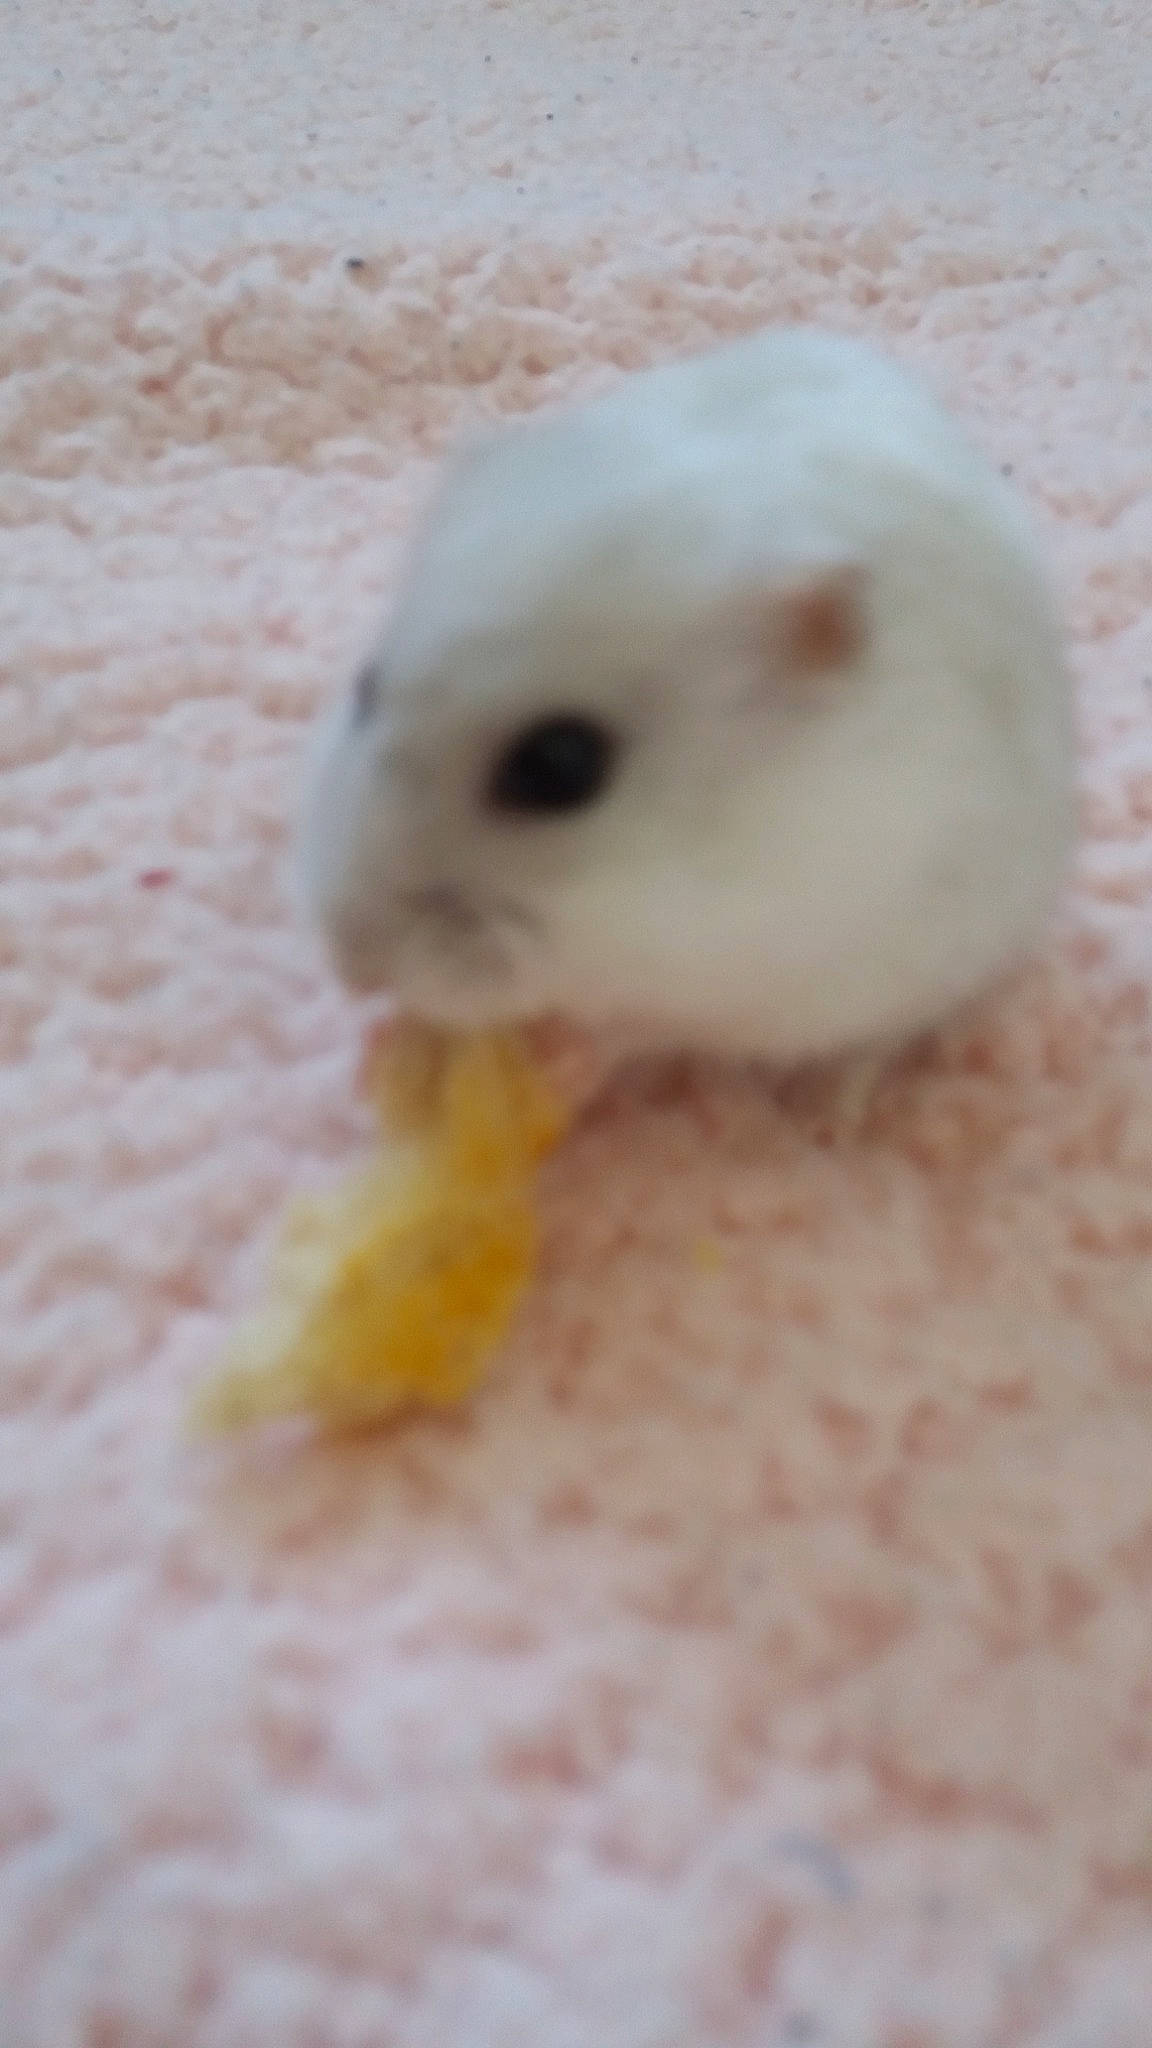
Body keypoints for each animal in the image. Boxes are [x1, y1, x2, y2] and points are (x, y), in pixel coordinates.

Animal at [300, 327, 1073, 1066]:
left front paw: (555, 1050)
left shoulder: (755, 978)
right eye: (365, 687)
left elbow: (625, 1033)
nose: (352, 967)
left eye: (560, 765)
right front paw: (382, 1044)